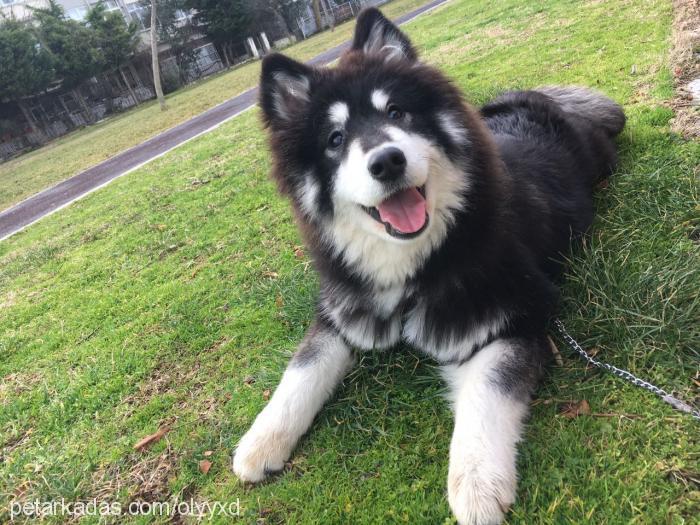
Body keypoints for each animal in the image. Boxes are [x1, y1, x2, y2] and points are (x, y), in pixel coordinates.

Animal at [234, 8, 624, 524]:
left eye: (396, 113)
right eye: (335, 140)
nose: (387, 161)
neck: (413, 269)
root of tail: (535, 98)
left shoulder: (519, 314)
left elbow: (487, 393)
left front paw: (477, 482)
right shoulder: (341, 311)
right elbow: (302, 369)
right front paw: (260, 441)